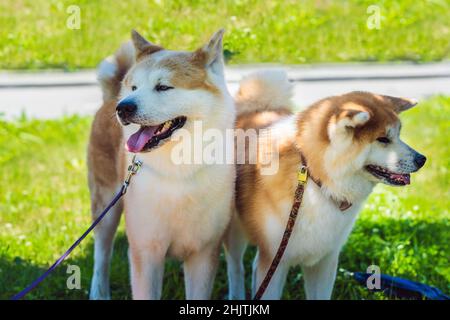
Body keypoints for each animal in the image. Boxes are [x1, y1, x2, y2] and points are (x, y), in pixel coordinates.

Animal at [86, 28, 237, 298]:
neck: (178, 171)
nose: (123, 107)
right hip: (106, 206)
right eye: (135, 87)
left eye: (163, 87)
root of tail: (112, 95)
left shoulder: (203, 253)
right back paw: (99, 292)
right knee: (102, 253)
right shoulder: (145, 252)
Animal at [224, 70, 426, 300]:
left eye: (399, 134)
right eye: (383, 139)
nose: (422, 159)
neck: (315, 182)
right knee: (235, 267)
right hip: (235, 229)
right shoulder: (274, 259)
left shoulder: (324, 260)